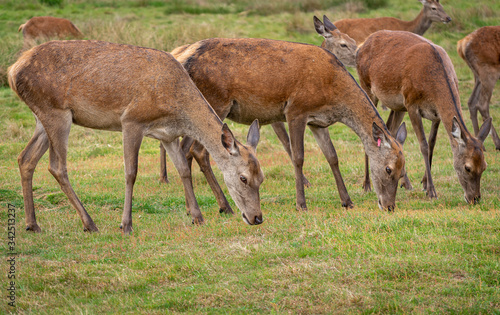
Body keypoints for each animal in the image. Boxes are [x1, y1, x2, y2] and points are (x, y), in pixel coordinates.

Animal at [7, 39, 266, 236]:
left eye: (261, 178)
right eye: (243, 178)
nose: (257, 218)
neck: (176, 107)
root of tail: (12, 70)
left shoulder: (168, 135)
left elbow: (183, 169)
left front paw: (197, 216)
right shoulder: (131, 121)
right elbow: (131, 172)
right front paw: (126, 224)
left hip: (42, 117)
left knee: (25, 158)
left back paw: (32, 224)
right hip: (56, 112)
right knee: (57, 166)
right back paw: (89, 223)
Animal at [162, 37, 408, 215]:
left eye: (402, 170)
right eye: (388, 169)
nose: (389, 206)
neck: (334, 92)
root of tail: (182, 56)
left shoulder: (319, 122)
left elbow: (332, 156)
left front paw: (347, 201)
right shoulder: (296, 110)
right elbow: (298, 157)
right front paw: (301, 204)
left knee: (187, 149)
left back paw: (199, 208)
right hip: (214, 102)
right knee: (198, 150)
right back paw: (225, 206)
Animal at [356, 30, 492, 205]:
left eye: (484, 166)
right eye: (467, 167)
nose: (475, 199)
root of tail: (362, 44)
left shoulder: (436, 114)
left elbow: (432, 144)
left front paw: (425, 183)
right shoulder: (412, 104)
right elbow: (424, 145)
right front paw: (432, 191)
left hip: (398, 105)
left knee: (390, 131)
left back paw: (406, 183)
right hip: (367, 86)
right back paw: (366, 184)